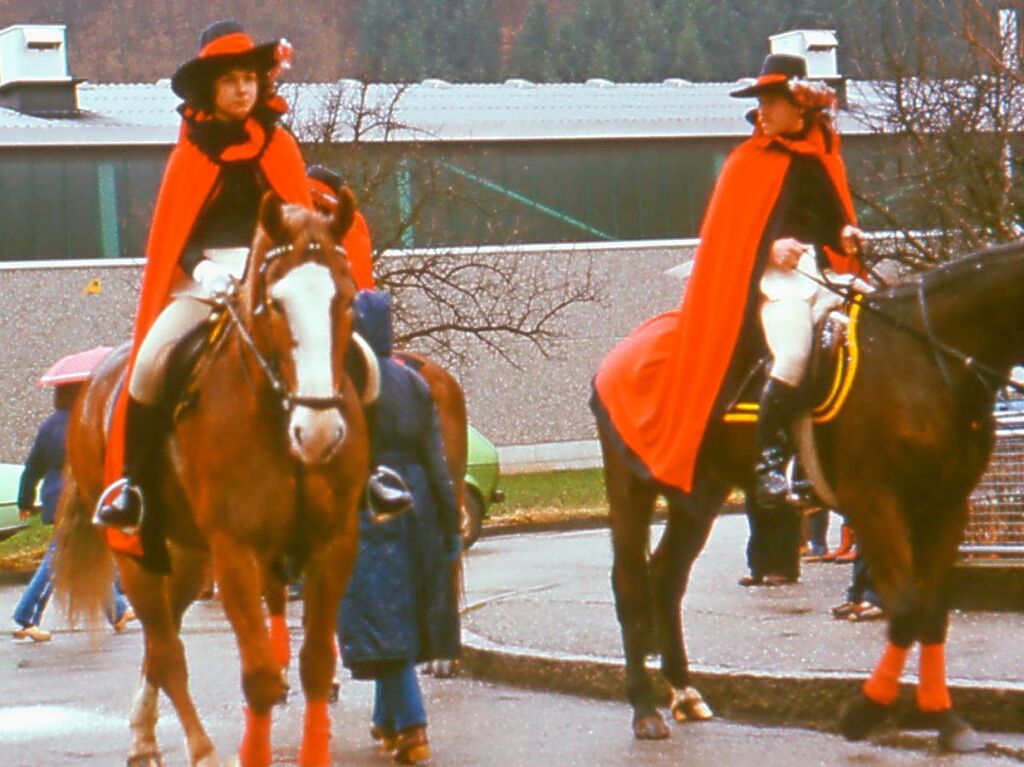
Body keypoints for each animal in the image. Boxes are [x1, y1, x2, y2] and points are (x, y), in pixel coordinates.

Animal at [56, 191, 368, 765]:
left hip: (184, 556)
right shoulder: (236, 552)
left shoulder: (333, 544)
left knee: (160, 647)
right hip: (135, 556)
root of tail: (93, 385)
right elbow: (261, 676)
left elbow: (316, 664)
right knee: (167, 653)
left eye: (348, 300)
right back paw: (198, 748)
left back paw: (144, 734)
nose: (317, 433)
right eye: (274, 305)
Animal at [598, 242, 1024, 749]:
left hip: (699, 495)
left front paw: (945, 718)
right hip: (631, 486)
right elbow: (906, 608)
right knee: (629, 582)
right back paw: (645, 709)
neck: (924, 357)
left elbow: (932, 611)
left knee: (666, 577)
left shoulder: (945, 507)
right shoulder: (874, 501)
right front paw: (863, 712)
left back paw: (684, 692)